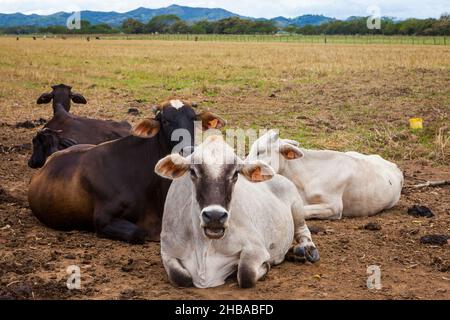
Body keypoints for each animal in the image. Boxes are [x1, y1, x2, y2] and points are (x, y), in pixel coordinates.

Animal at [156, 134, 318, 288]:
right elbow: (181, 277)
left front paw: (265, 266)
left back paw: (305, 250)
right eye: (192, 171)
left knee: (303, 231)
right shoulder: (167, 251)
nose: (215, 216)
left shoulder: (255, 247)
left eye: (235, 173)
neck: (204, 246)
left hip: (297, 207)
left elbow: (246, 274)